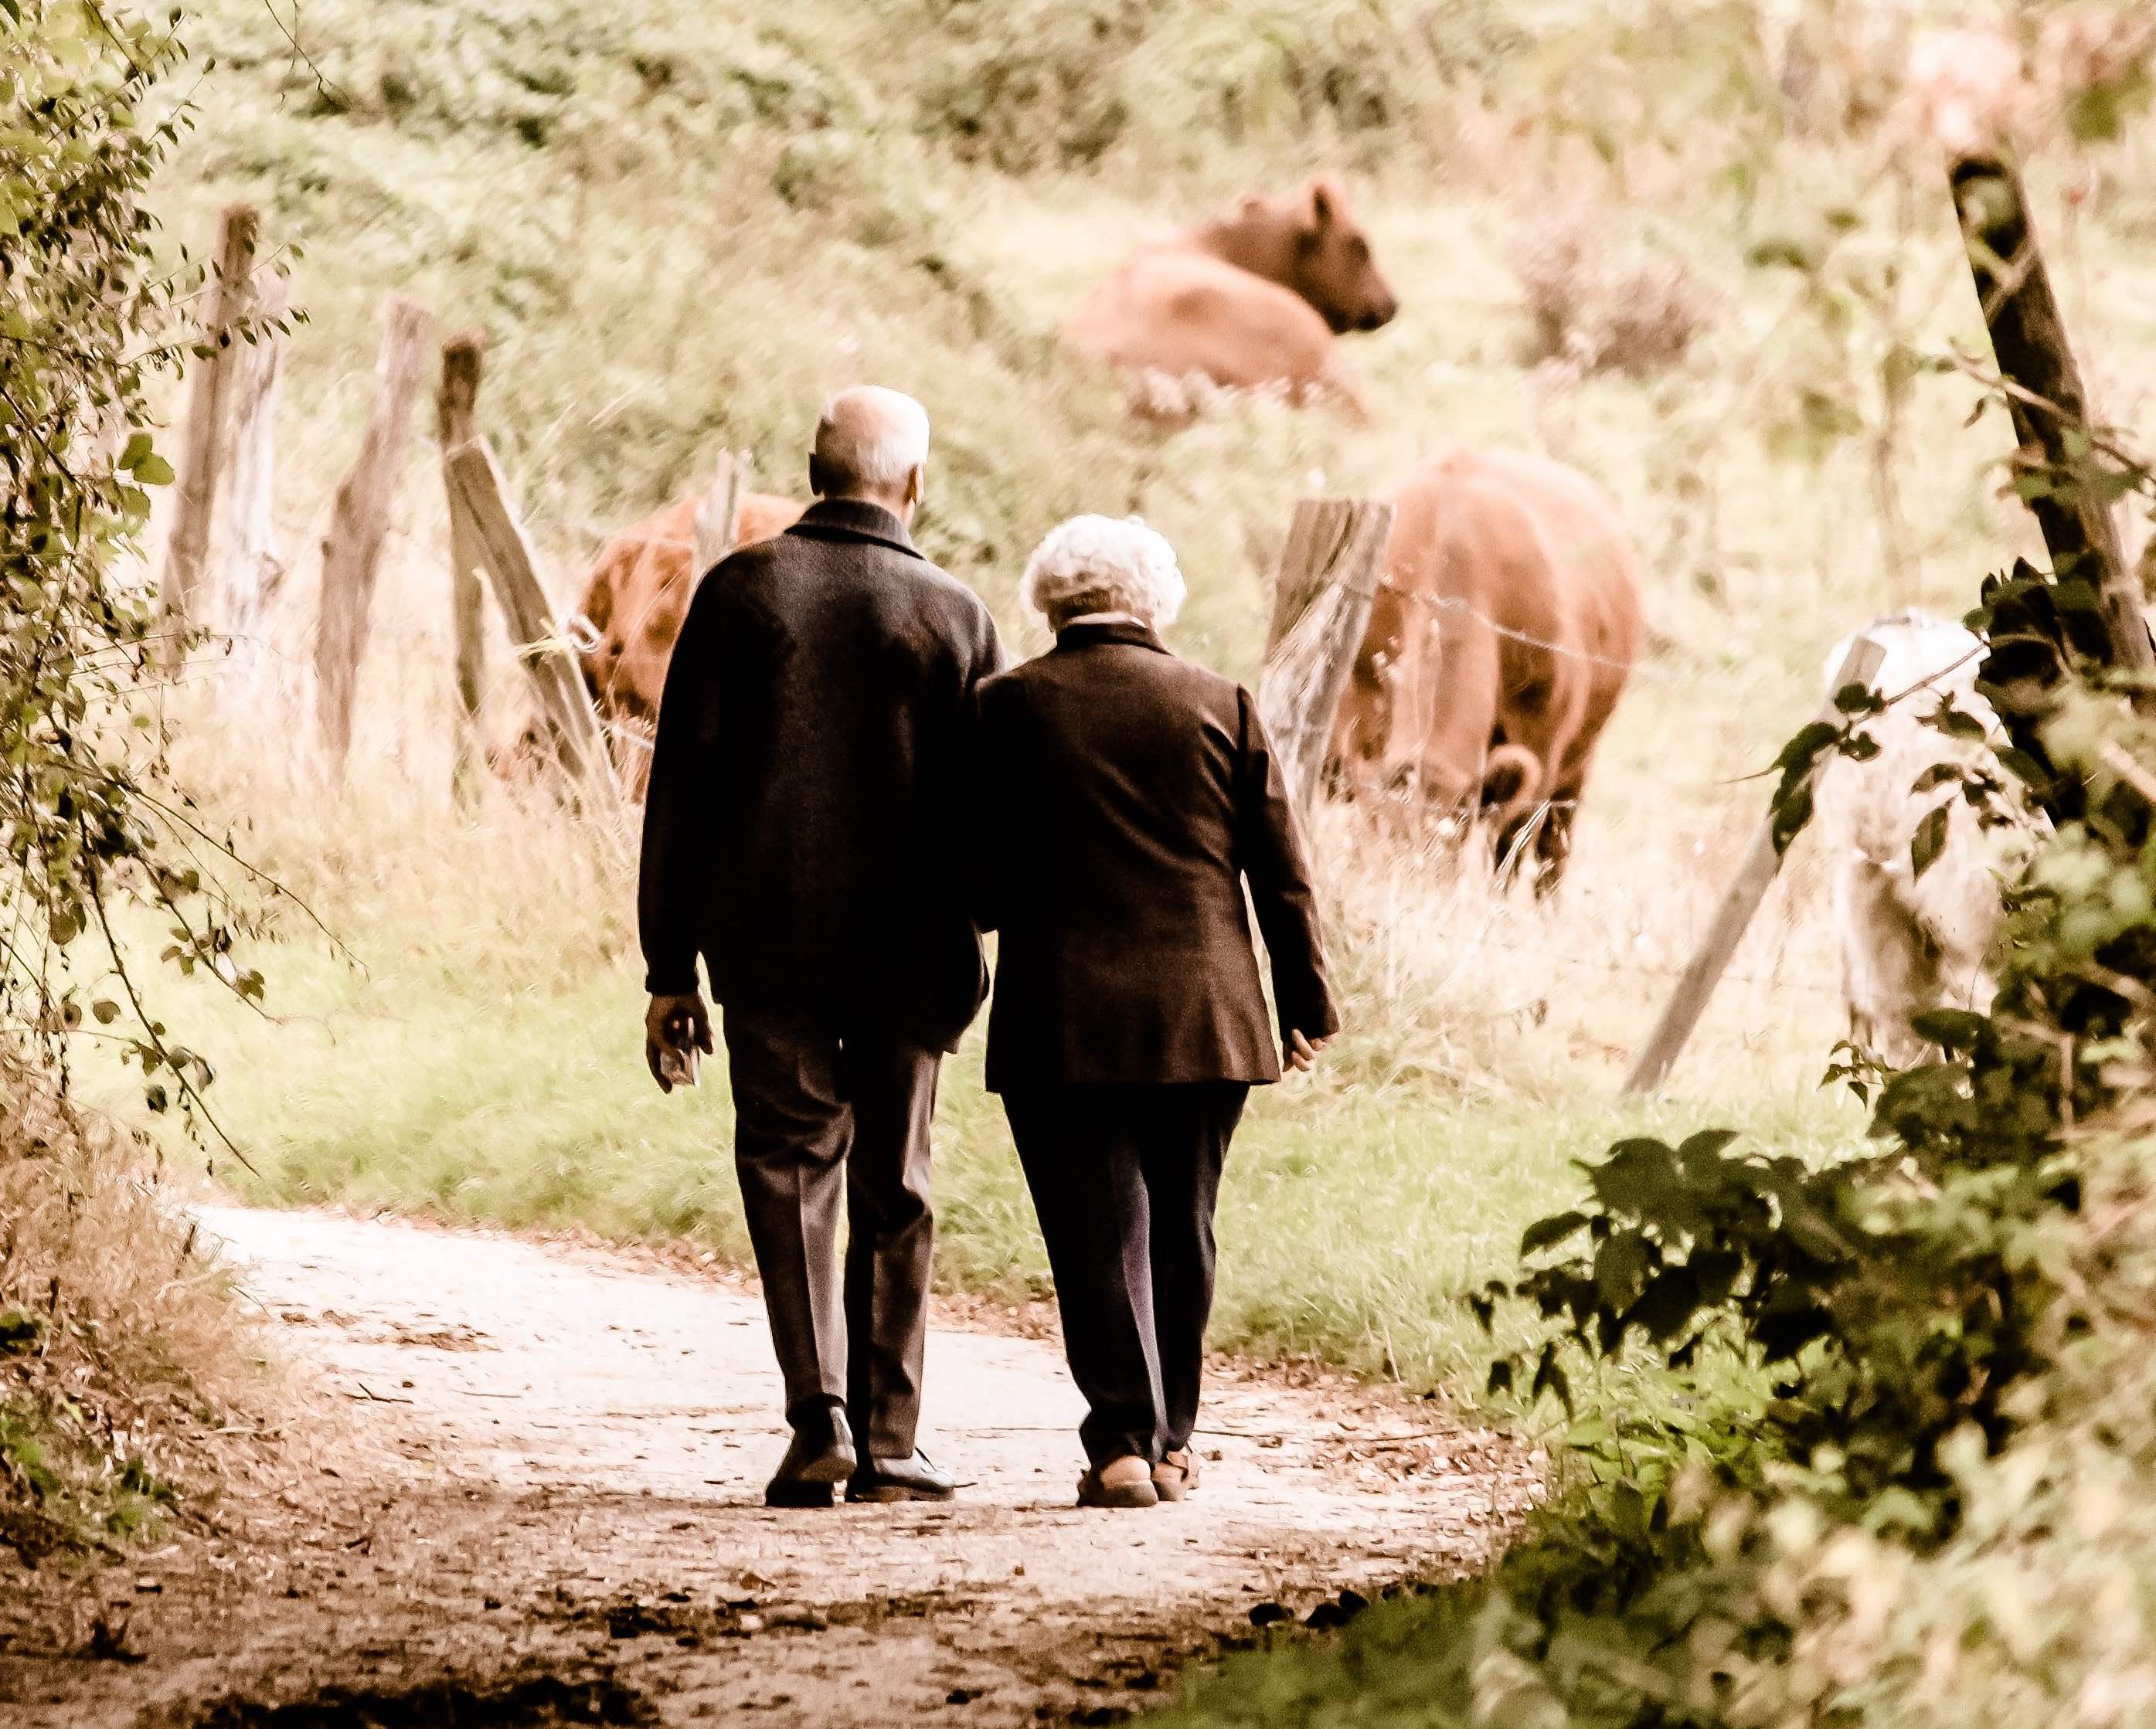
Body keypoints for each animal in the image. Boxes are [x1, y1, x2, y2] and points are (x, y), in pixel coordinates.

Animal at [1319, 448, 1638, 888]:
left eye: (1446, 850)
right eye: (1373, 837)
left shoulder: (1541, 743)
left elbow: (1511, 849)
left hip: (1578, 762)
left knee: (1553, 851)